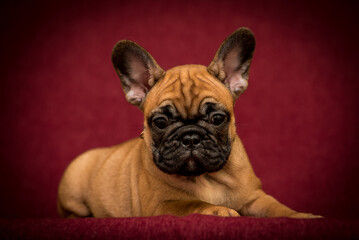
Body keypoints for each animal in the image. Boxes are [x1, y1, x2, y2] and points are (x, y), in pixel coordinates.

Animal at [58, 27, 320, 218]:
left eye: (217, 118)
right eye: (160, 122)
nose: (190, 137)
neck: (207, 177)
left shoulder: (254, 196)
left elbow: (277, 207)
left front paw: (302, 216)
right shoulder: (161, 205)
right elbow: (192, 204)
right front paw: (218, 209)